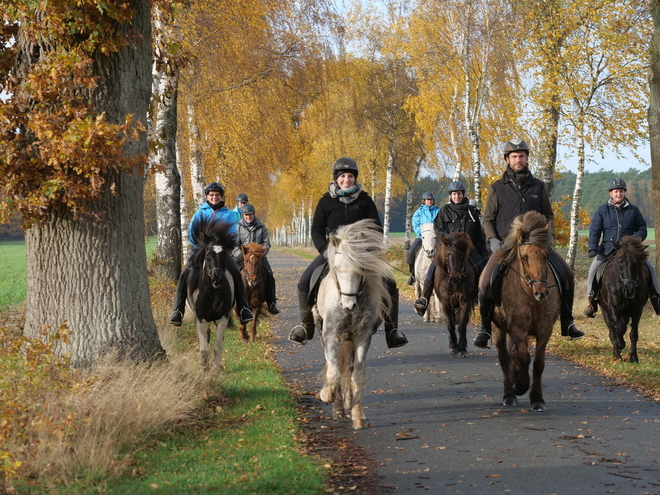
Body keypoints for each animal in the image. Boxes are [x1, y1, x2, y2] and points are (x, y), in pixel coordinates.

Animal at [187, 219, 236, 370]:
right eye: (208, 253)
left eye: (224, 253)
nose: (217, 279)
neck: (212, 294)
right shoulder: (201, 320)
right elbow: (204, 348)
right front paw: (204, 368)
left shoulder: (222, 319)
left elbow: (217, 346)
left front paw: (215, 369)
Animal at [314, 221, 392, 430]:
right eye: (336, 267)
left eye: (361, 268)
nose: (348, 305)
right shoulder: (331, 337)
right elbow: (333, 373)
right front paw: (326, 396)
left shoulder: (362, 338)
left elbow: (357, 376)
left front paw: (358, 416)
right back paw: (339, 407)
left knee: (348, 369)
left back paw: (349, 405)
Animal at [492, 211, 560, 412]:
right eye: (524, 257)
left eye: (546, 255)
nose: (541, 292)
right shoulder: (518, 329)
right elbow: (523, 357)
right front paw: (520, 386)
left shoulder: (545, 330)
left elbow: (538, 363)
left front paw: (537, 399)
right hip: (498, 328)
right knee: (504, 357)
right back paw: (509, 394)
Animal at [600, 236, 648, 364]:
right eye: (620, 261)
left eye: (637, 262)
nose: (629, 288)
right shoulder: (613, 307)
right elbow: (618, 329)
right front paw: (620, 344)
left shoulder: (638, 310)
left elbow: (633, 334)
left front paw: (634, 358)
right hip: (605, 310)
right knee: (612, 330)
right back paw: (617, 355)